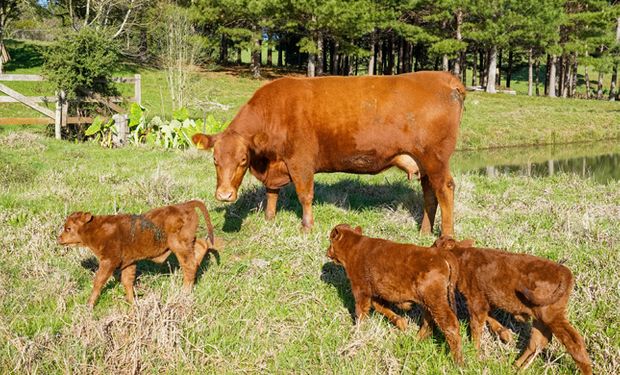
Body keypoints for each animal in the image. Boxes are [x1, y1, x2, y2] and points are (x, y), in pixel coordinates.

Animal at [57, 201, 216, 306]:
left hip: (179, 246)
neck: (96, 229)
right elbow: (127, 281)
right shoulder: (129, 262)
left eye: (68, 228)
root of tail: (184, 205)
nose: (59, 238)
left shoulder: (109, 261)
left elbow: (99, 281)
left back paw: (185, 292)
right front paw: (133, 304)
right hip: (188, 242)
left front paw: (89, 304)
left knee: (189, 265)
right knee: (202, 245)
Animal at [194, 71, 464, 235]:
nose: (224, 195)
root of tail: (444, 78)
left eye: (242, 160)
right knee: (429, 194)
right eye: (215, 160)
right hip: (425, 162)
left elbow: (305, 195)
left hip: (436, 158)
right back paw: (424, 232)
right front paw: (269, 219)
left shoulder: (300, 161)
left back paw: (446, 237)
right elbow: (271, 193)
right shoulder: (276, 165)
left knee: (445, 189)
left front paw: (306, 227)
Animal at [326, 225, 462, 366]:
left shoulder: (361, 290)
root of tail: (441, 253)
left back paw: (458, 362)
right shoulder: (376, 293)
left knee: (449, 324)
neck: (355, 247)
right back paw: (416, 341)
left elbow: (361, 312)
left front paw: (358, 332)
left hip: (436, 301)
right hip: (429, 302)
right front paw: (402, 323)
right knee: (429, 321)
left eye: (330, 240)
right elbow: (380, 307)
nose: (327, 252)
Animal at [432, 236, 592, 374]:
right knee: (538, 341)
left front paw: (474, 352)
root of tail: (565, 271)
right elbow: (488, 316)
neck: (461, 258)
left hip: (551, 315)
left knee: (574, 342)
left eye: (435, 247)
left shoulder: (476, 299)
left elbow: (476, 327)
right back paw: (517, 366)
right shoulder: (486, 300)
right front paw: (505, 334)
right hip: (541, 317)